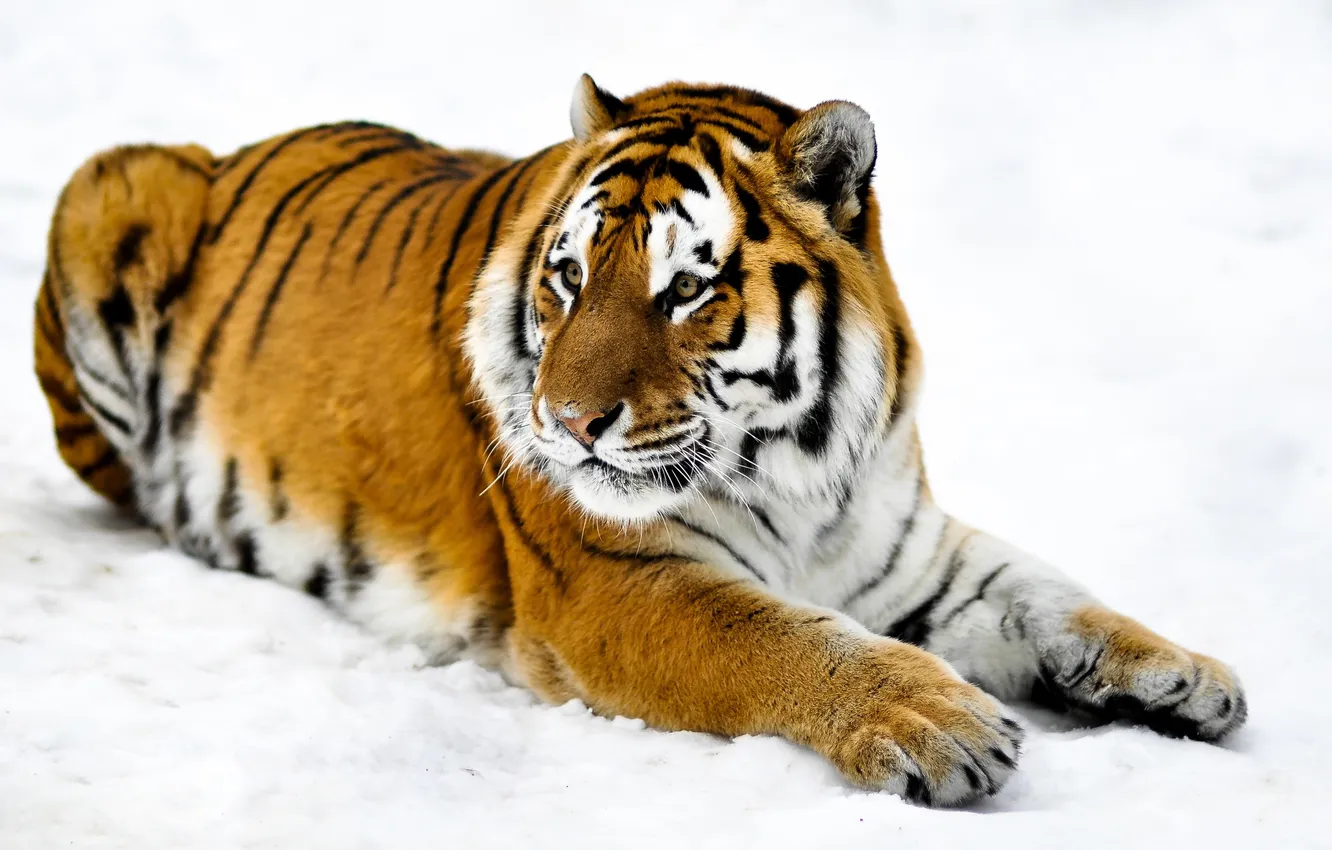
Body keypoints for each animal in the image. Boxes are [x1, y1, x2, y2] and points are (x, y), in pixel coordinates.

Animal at [32, 75, 1246, 806]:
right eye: (568, 278)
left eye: (685, 290)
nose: (567, 425)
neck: (801, 470)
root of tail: (240, 144)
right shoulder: (615, 583)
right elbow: (786, 641)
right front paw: (939, 721)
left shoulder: (902, 550)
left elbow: (1047, 592)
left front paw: (1182, 676)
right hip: (108, 185)